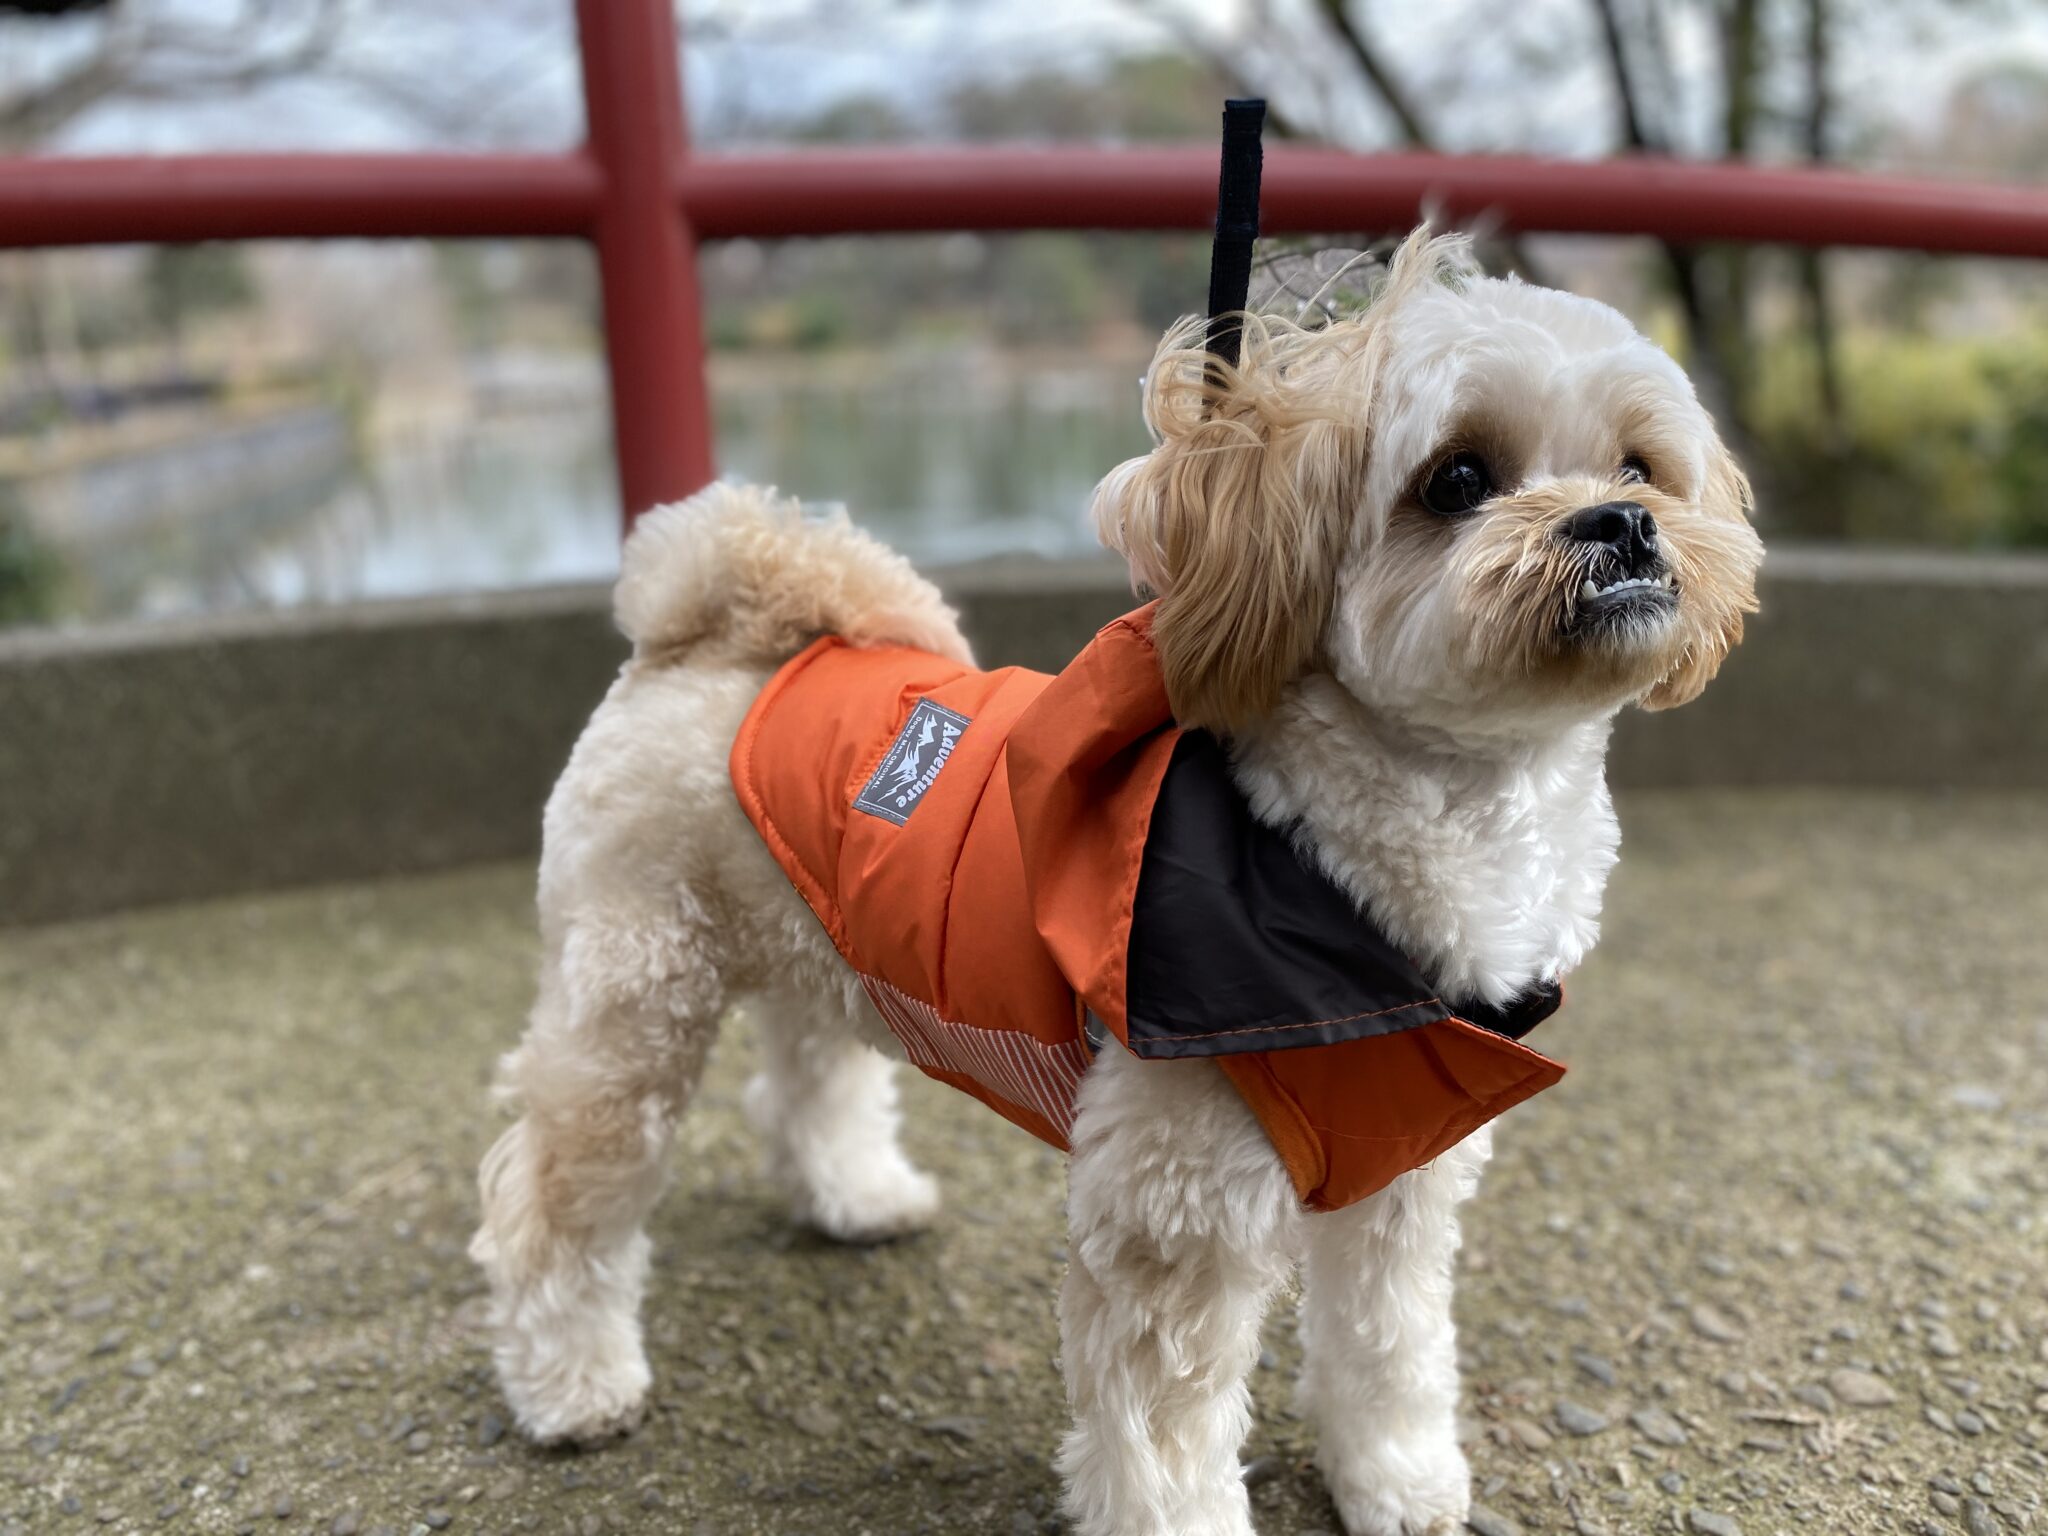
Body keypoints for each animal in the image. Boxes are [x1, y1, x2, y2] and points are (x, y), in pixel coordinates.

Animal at [475, 231, 1761, 1536]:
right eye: (1456, 479)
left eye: (1640, 464)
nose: (1621, 520)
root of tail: (710, 635)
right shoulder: (1175, 1211)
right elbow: (1166, 1435)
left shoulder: (1401, 1168)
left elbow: (1387, 1341)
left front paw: (1394, 1478)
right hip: (636, 997)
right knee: (556, 1196)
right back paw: (571, 1381)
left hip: (819, 947)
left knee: (808, 1080)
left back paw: (853, 1194)